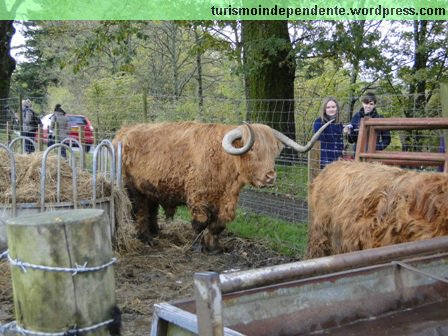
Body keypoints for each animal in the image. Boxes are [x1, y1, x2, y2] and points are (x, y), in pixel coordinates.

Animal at [114, 121, 330, 252]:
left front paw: (214, 248)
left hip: (150, 187)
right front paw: (198, 247)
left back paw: (155, 232)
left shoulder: (227, 201)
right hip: (132, 188)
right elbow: (201, 223)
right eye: (252, 150)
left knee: (151, 209)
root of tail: (123, 132)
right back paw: (146, 238)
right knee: (140, 211)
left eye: (274, 152)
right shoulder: (199, 198)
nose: (270, 176)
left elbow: (218, 225)